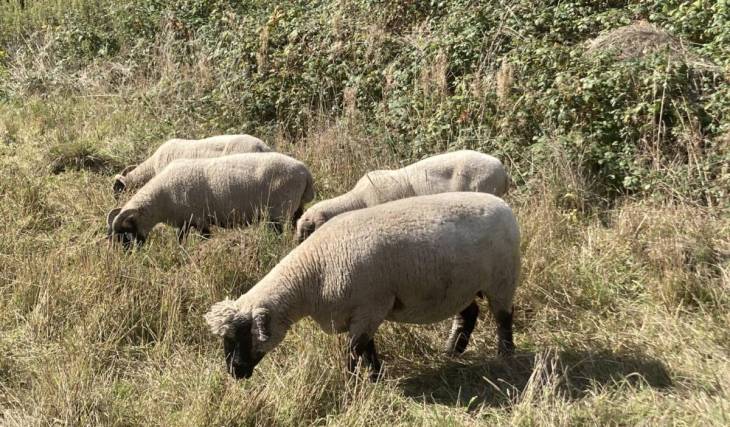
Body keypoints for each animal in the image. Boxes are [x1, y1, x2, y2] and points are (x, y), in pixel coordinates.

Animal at [106, 152, 314, 247]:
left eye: (124, 233)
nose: (124, 256)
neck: (160, 199)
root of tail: (304, 171)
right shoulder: (185, 223)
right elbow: (180, 240)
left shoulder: (198, 221)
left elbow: (200, 239)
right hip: (296, 208)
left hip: (278, 212)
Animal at [205, 191, 520, 380]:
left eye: (242, 336)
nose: (233, 373)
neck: (312, 274)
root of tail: (503, 204)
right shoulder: (362, 313)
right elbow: (367, 347)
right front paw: (377, 377)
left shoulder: (370, 306)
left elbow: (353, 350)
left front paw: (349, 381)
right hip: (462, 285)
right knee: (469, 313)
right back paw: (452, 350)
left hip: (502, 279)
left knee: (503, 318)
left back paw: (505, 355)